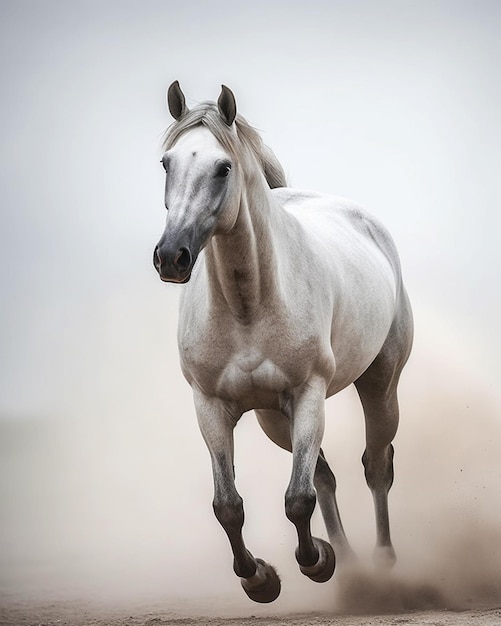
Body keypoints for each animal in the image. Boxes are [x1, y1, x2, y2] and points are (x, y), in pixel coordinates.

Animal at [152, 80, 414, 604]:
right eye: (167, 163)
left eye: (223, 167)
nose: (171, 256)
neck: (248, 305)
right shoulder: (210, 406)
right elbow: (228, 505)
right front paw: (260, 578)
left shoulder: (309, 394)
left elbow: (297, 498)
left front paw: (313, 562)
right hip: (274, 418)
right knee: (326, 476)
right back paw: (348, 562)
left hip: (379, 386)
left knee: (375, 466)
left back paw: (380, 563)